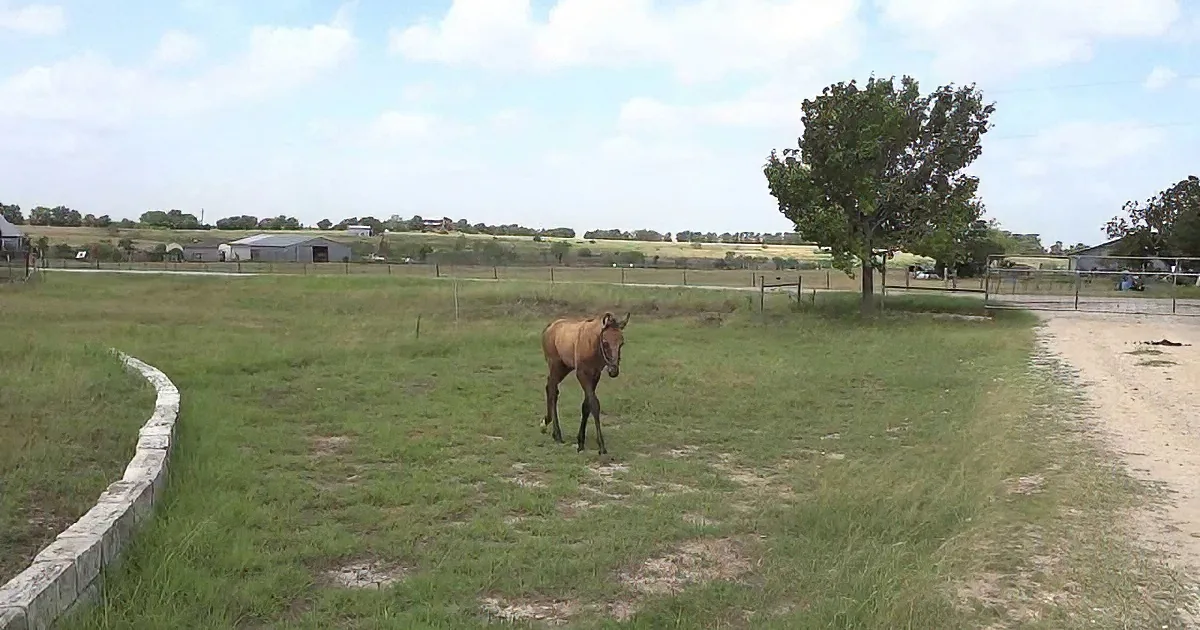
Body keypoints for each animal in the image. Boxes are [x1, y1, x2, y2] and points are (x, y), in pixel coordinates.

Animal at [540, 311, 630, 455]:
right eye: (605, 343)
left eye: (621, 343)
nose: (613, 371)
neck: (592, 344)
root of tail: (550, 327)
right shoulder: (582, 374)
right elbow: (594, 404)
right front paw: (601, 446)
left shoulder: (595, 375)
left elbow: (586, 405)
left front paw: (580, 441)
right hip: (555, 365)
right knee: (553, 391)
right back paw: (557, 434)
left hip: (564, 367)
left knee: (550, 387)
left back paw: (546, 422)